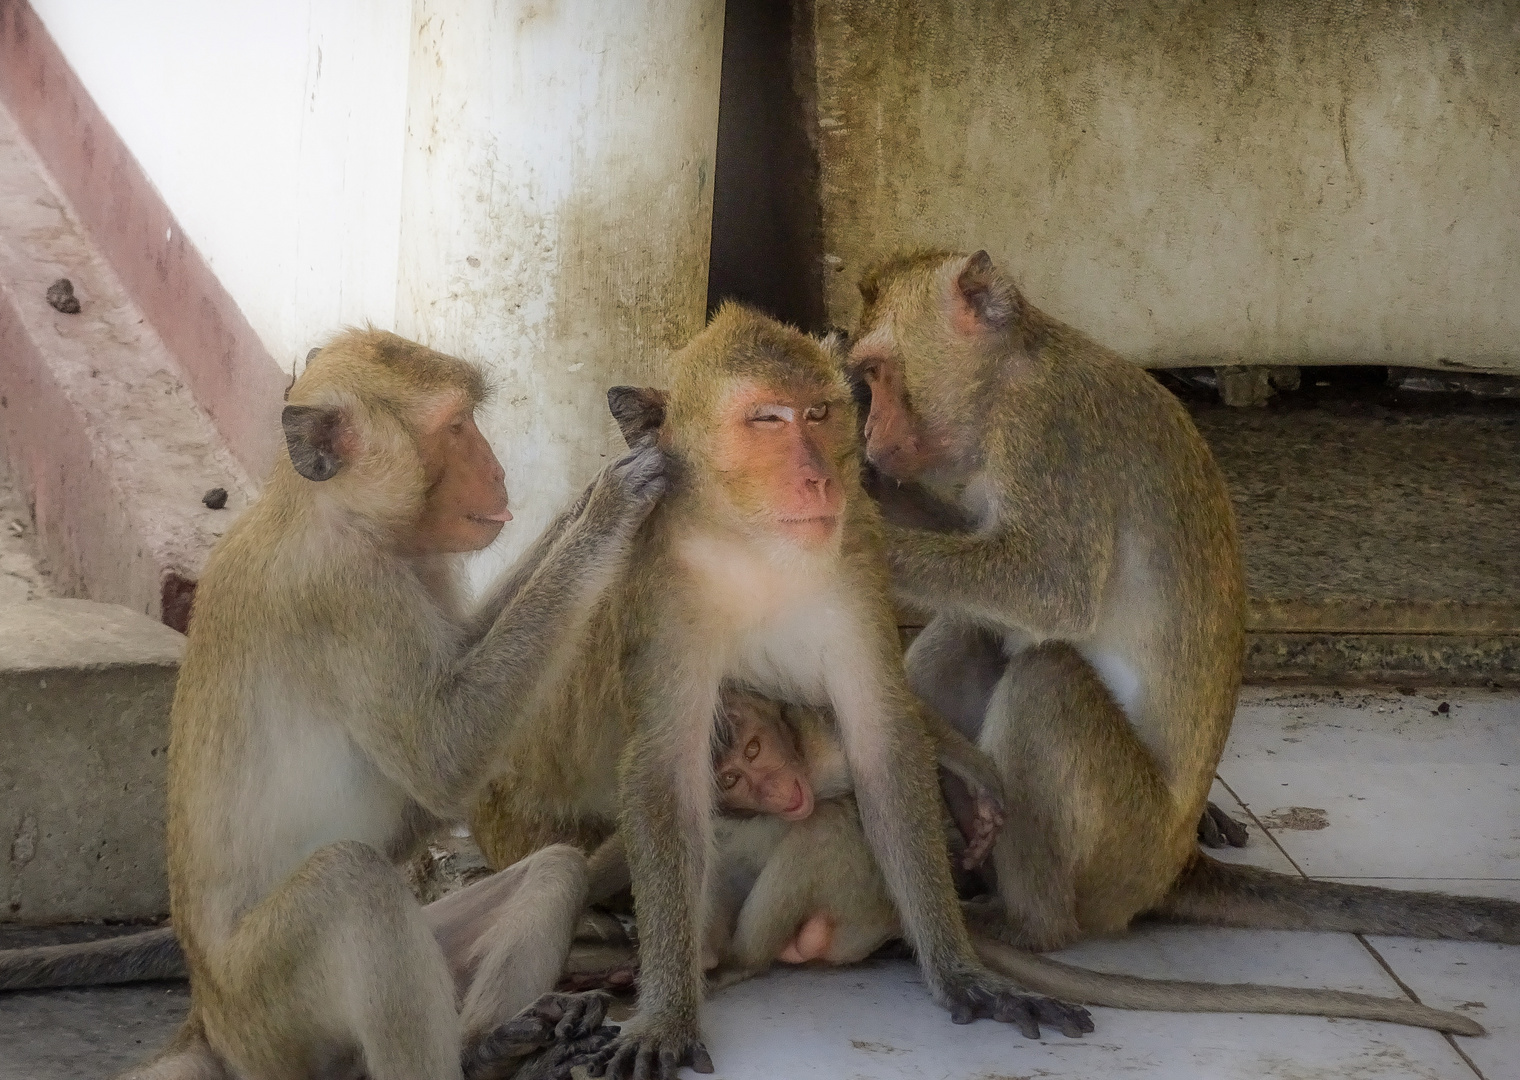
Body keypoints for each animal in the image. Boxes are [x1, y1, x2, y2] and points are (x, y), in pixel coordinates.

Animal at [87, 331, 659, 1080]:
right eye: (455, 427)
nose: (498, 471)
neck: (332, 511)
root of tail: (208, 1019)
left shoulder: (425, 567)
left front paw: (591, 492)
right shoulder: (346, 593)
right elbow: (444, 756)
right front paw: (611, 508)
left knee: (555, 869)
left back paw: (489, 1041)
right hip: (270, 1016)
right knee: (353, 886)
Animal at [471, 306, 1094, 1080]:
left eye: (819, 413)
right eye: (766, 419)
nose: (820, 481)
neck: (755, 544)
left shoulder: (856, 562)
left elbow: (881, 744)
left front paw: (960, 971)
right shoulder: (664, 589)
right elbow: (665, 772)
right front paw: (667, 1014)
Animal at [845, 250, 1520, 953]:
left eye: (877, 374)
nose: (869, 431)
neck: (1006, 381)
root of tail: (1176, 865)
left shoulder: (1052, 434)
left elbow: (1052, 588)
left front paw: (848, 525)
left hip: (1125, 848)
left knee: (1045, 679)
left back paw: (1027, 925)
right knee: (969, 634)